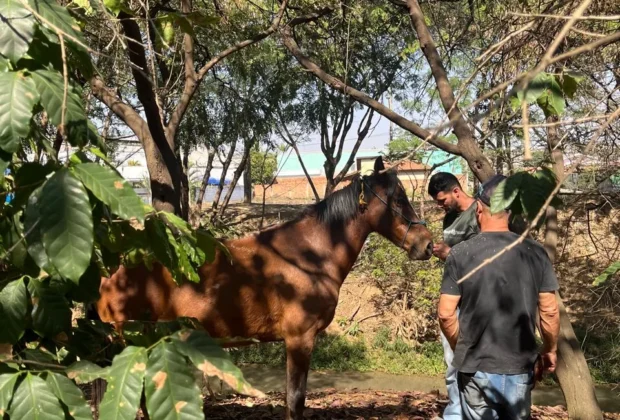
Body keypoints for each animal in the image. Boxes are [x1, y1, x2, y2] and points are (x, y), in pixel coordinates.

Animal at [97, 157, 434, 416]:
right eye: (398, 199)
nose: (427, 245)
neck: (308, 255)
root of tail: (111, 270)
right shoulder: (300, 339)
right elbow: (295, 400)